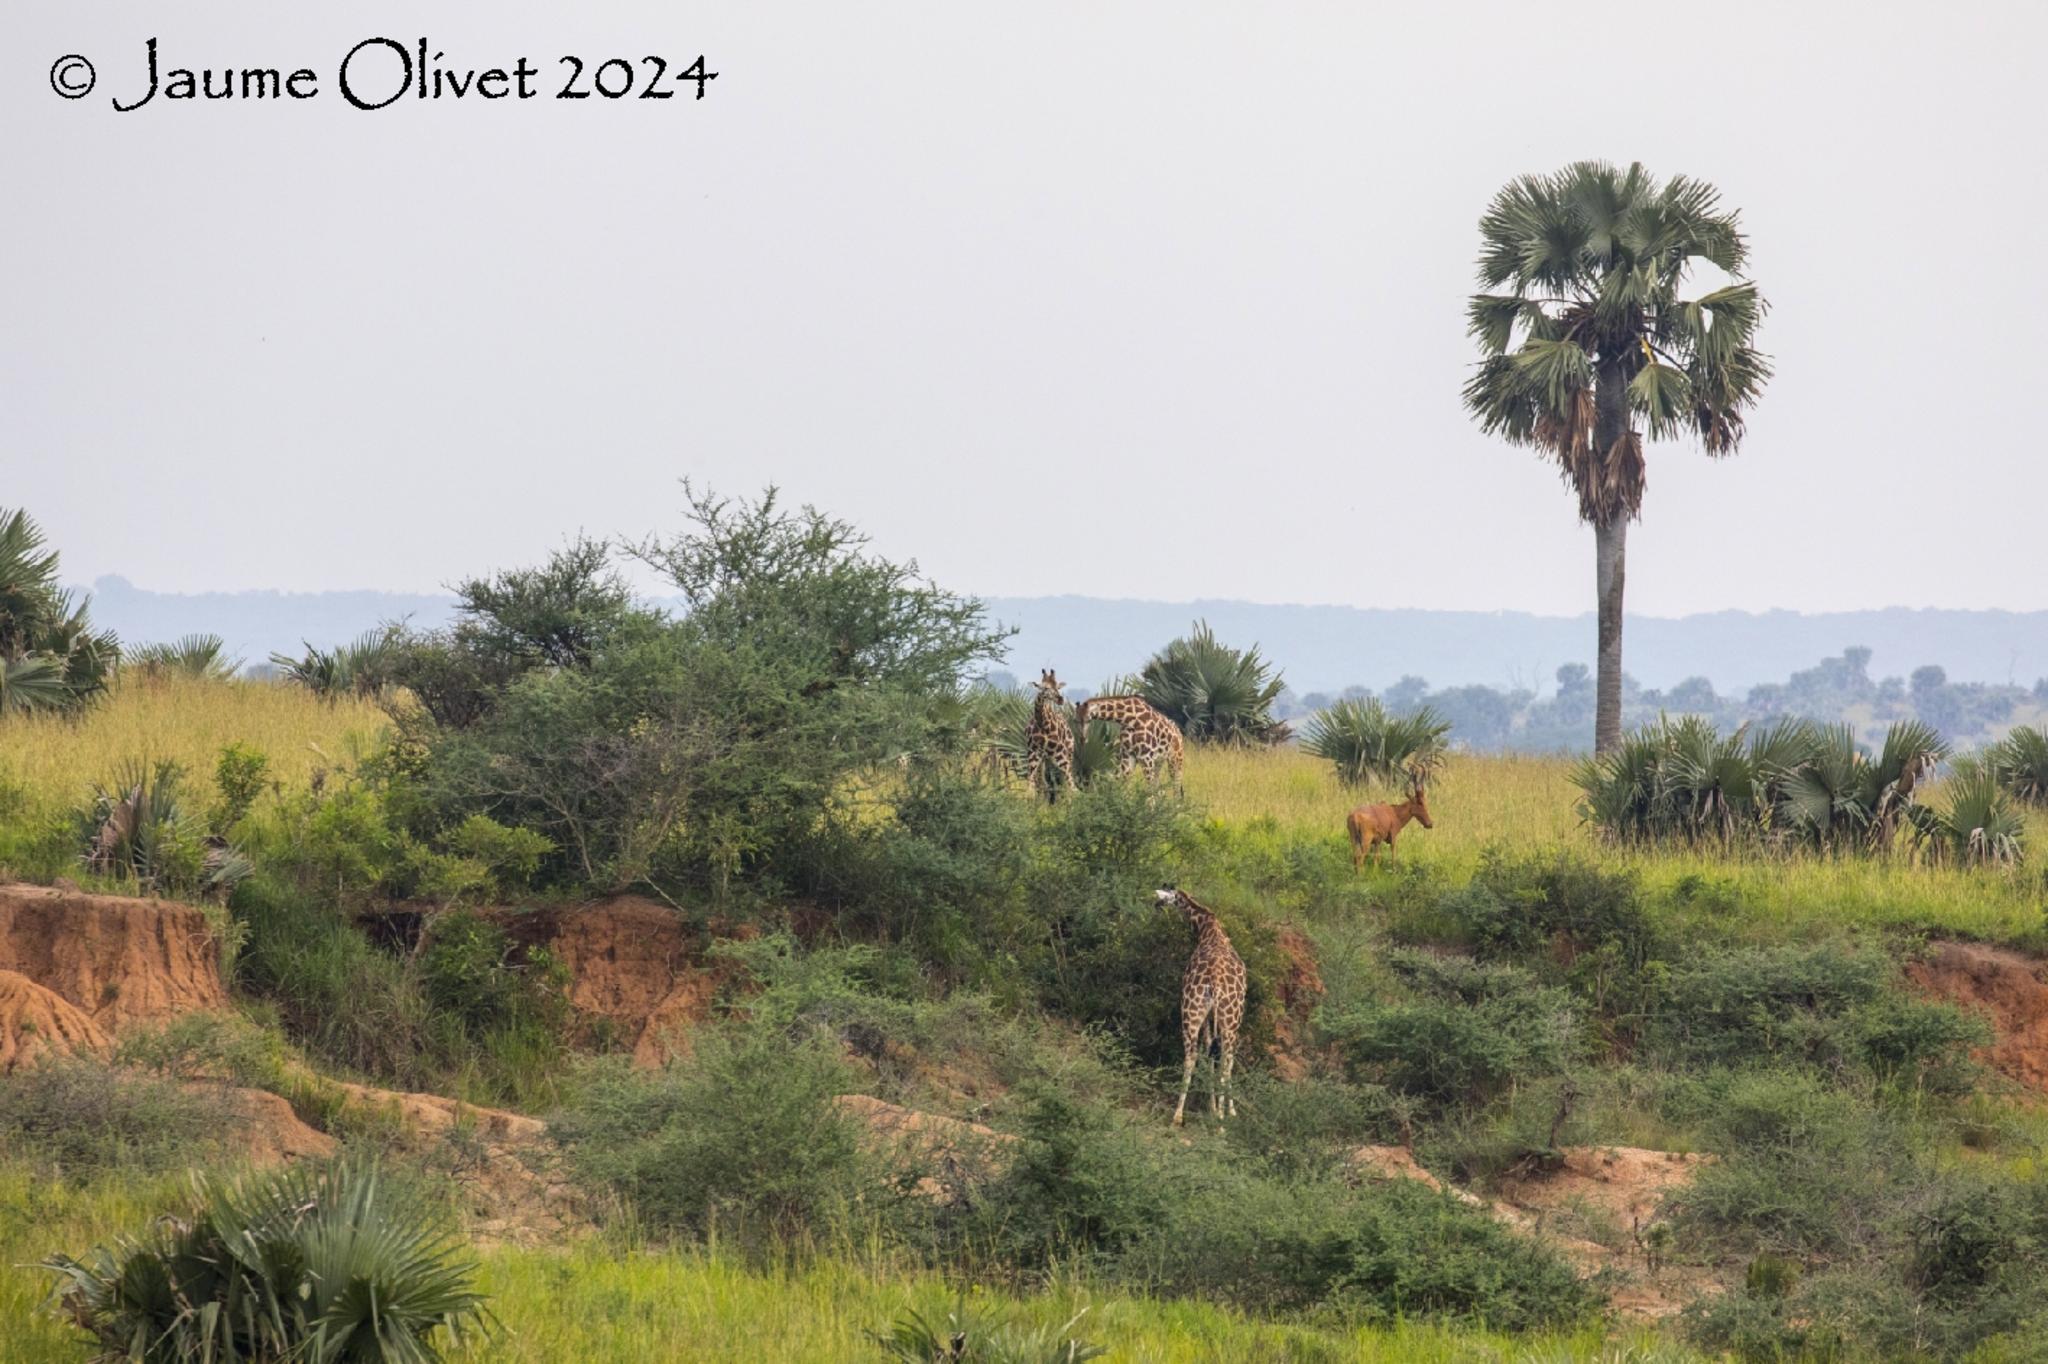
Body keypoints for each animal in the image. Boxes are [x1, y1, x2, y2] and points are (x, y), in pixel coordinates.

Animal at [1019, 667, 1073, 798]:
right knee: (1044, 781)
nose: (1060, 700)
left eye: (1058, 686)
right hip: (1045, 759)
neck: (1043, 724)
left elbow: (1071, 785)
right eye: (1045, 687)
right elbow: (1031, 786)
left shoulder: (1061, 753)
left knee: (1067, 780)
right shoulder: (1033, 753)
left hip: (1069, 753)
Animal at [1155, 888, 1245, 1122]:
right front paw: (1226, 1110)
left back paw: (1178, 1116)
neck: (1209, 930)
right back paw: (1221, 1119)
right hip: (1230, 1019)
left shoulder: (1208, 1016)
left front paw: (1214, 1108)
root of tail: (1215, 979)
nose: (1156, 907)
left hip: (1192, 1011)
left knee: (1192, 1056)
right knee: (1225, 1060)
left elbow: (1208, 1050)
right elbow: (1223, 1060)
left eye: (1162, 899)